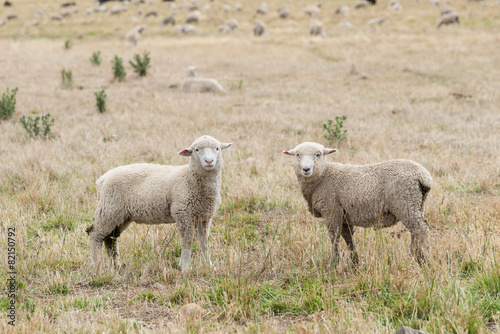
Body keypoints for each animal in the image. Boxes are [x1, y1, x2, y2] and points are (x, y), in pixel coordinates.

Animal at [86, 134, 232, 270]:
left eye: (217, 148)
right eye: (196, 150)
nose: (209, 161)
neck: (189, 177)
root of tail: (102, 179)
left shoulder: (204, 216)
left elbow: (204, 242)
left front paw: (209, 266)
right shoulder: (183, 213)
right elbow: (187, 241)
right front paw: (185, 267)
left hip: (121, 215)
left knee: (110, 239)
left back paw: (116, 265)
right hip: (109, 209)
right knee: (95, 235)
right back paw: (96, 265)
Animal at [284, 142, 432, 268]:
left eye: (318, 154)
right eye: (297, 155)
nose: (306, 169)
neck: (323, 177)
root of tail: (423, 176)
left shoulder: (331, 209)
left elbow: (334, 237)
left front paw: (333, 265)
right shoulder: (344, 215)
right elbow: (348, 238)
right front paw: (354, 262)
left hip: (405, 203)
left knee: (420, 229)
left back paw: (422, 259)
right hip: (417, 204)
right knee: (416, 230)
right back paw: (415, 254)